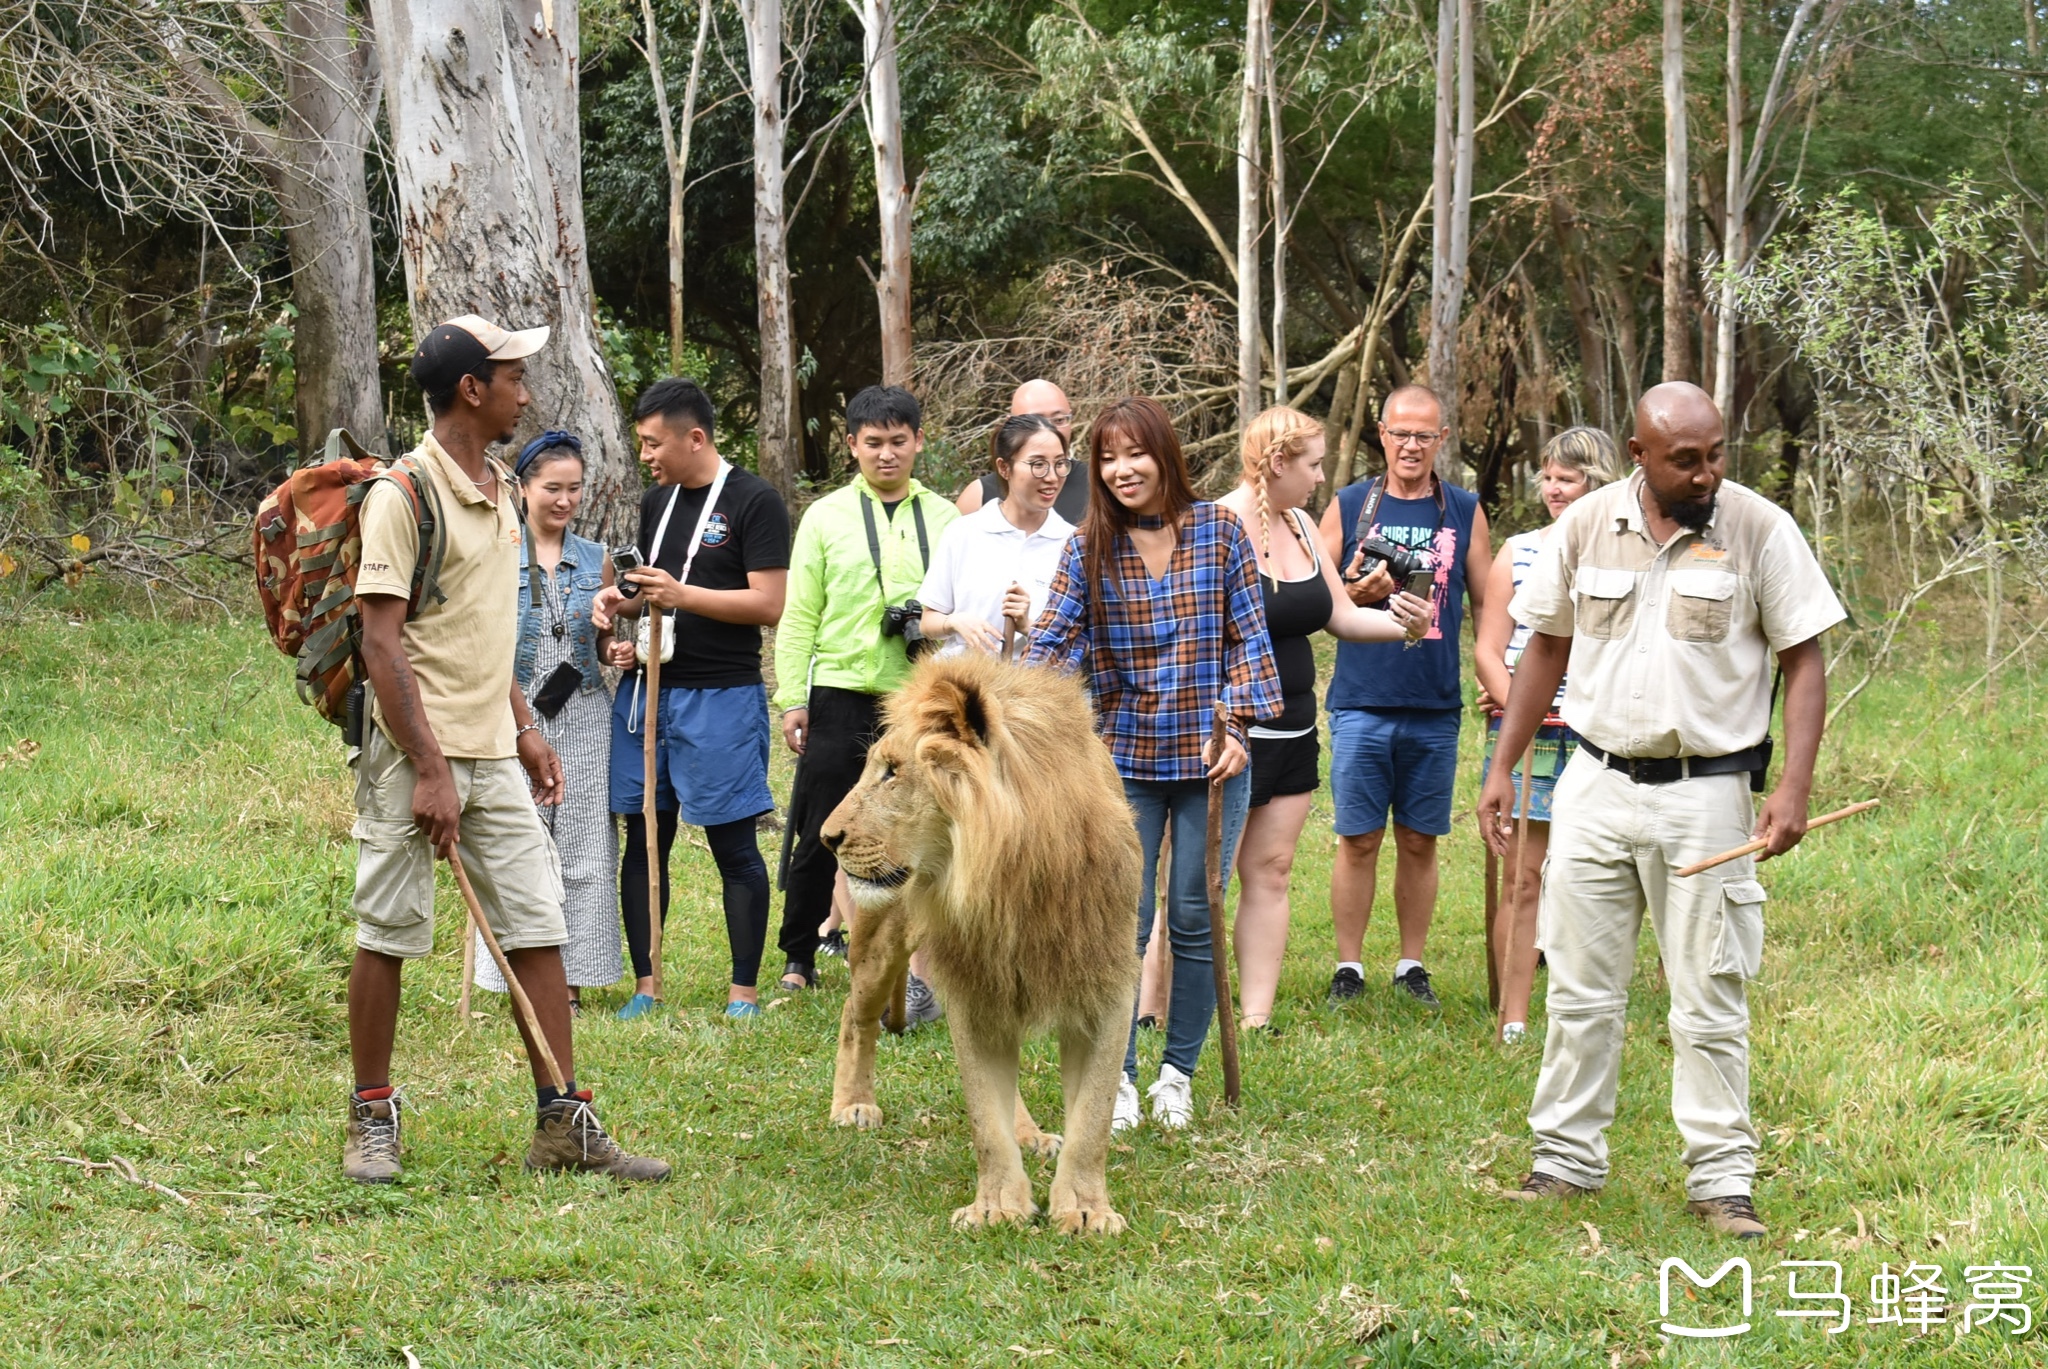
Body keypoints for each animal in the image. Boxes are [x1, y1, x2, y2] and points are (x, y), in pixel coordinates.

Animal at [827, 647, 1155, 1237]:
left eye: (893, 772)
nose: (825, 837)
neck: (1013, 881)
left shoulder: (1107, 987)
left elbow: (1093, 1117)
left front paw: (1086, 1209)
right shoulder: (973, 987)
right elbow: (985, 1116)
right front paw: (997, 1206)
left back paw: (1031, 1135)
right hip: (881, 937)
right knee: (854, 1015)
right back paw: (852, 1106)